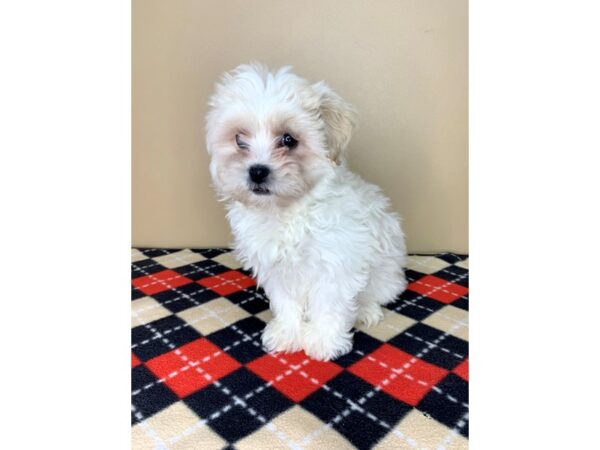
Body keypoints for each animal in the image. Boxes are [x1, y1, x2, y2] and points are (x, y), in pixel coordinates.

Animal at [205, 63, 408, 360]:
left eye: (289, 139)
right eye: (239, 140)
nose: (257, 171)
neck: (288, 211)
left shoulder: (335, 264)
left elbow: (329, 304)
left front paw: (324, 340)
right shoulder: (276, 269)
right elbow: (286, 303)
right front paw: (287, 333)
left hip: (386, 275)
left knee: (374, 295)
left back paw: (366, 310)